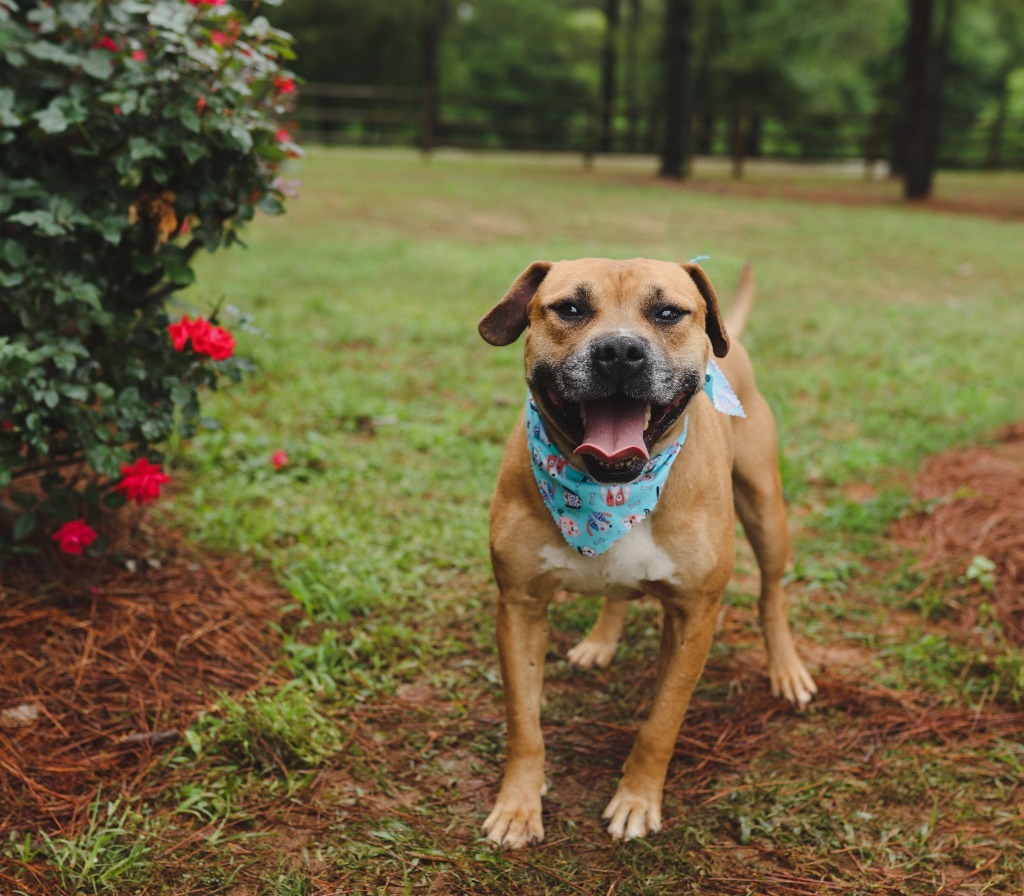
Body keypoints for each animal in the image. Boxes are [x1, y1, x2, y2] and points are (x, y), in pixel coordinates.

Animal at [477, 258, 815, 847]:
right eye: (569, 308)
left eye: (668, 313)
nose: (619, 350)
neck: (608, 491)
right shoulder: (519, 605)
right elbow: (524, 721)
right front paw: (518, 805)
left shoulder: (694, 616)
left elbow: (662, 722)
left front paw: (636, 801)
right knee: (618, 590)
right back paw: (600, 642)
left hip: (766, 511)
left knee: (771, 593)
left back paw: (787, 669)